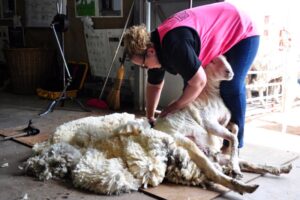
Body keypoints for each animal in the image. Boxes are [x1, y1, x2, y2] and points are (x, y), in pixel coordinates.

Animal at [24, 55, 292, 195]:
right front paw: (236, 164)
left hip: (207, 152)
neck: (210, 94)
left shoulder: (223, 123)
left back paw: (277, 169)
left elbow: (235, 131)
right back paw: (244, 185)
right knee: (215, 172)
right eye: (216, 61)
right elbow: (234, 136)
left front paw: (238, 161)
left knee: (245, 163)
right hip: (189, 148)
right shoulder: (210, 124)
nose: (231, 72)